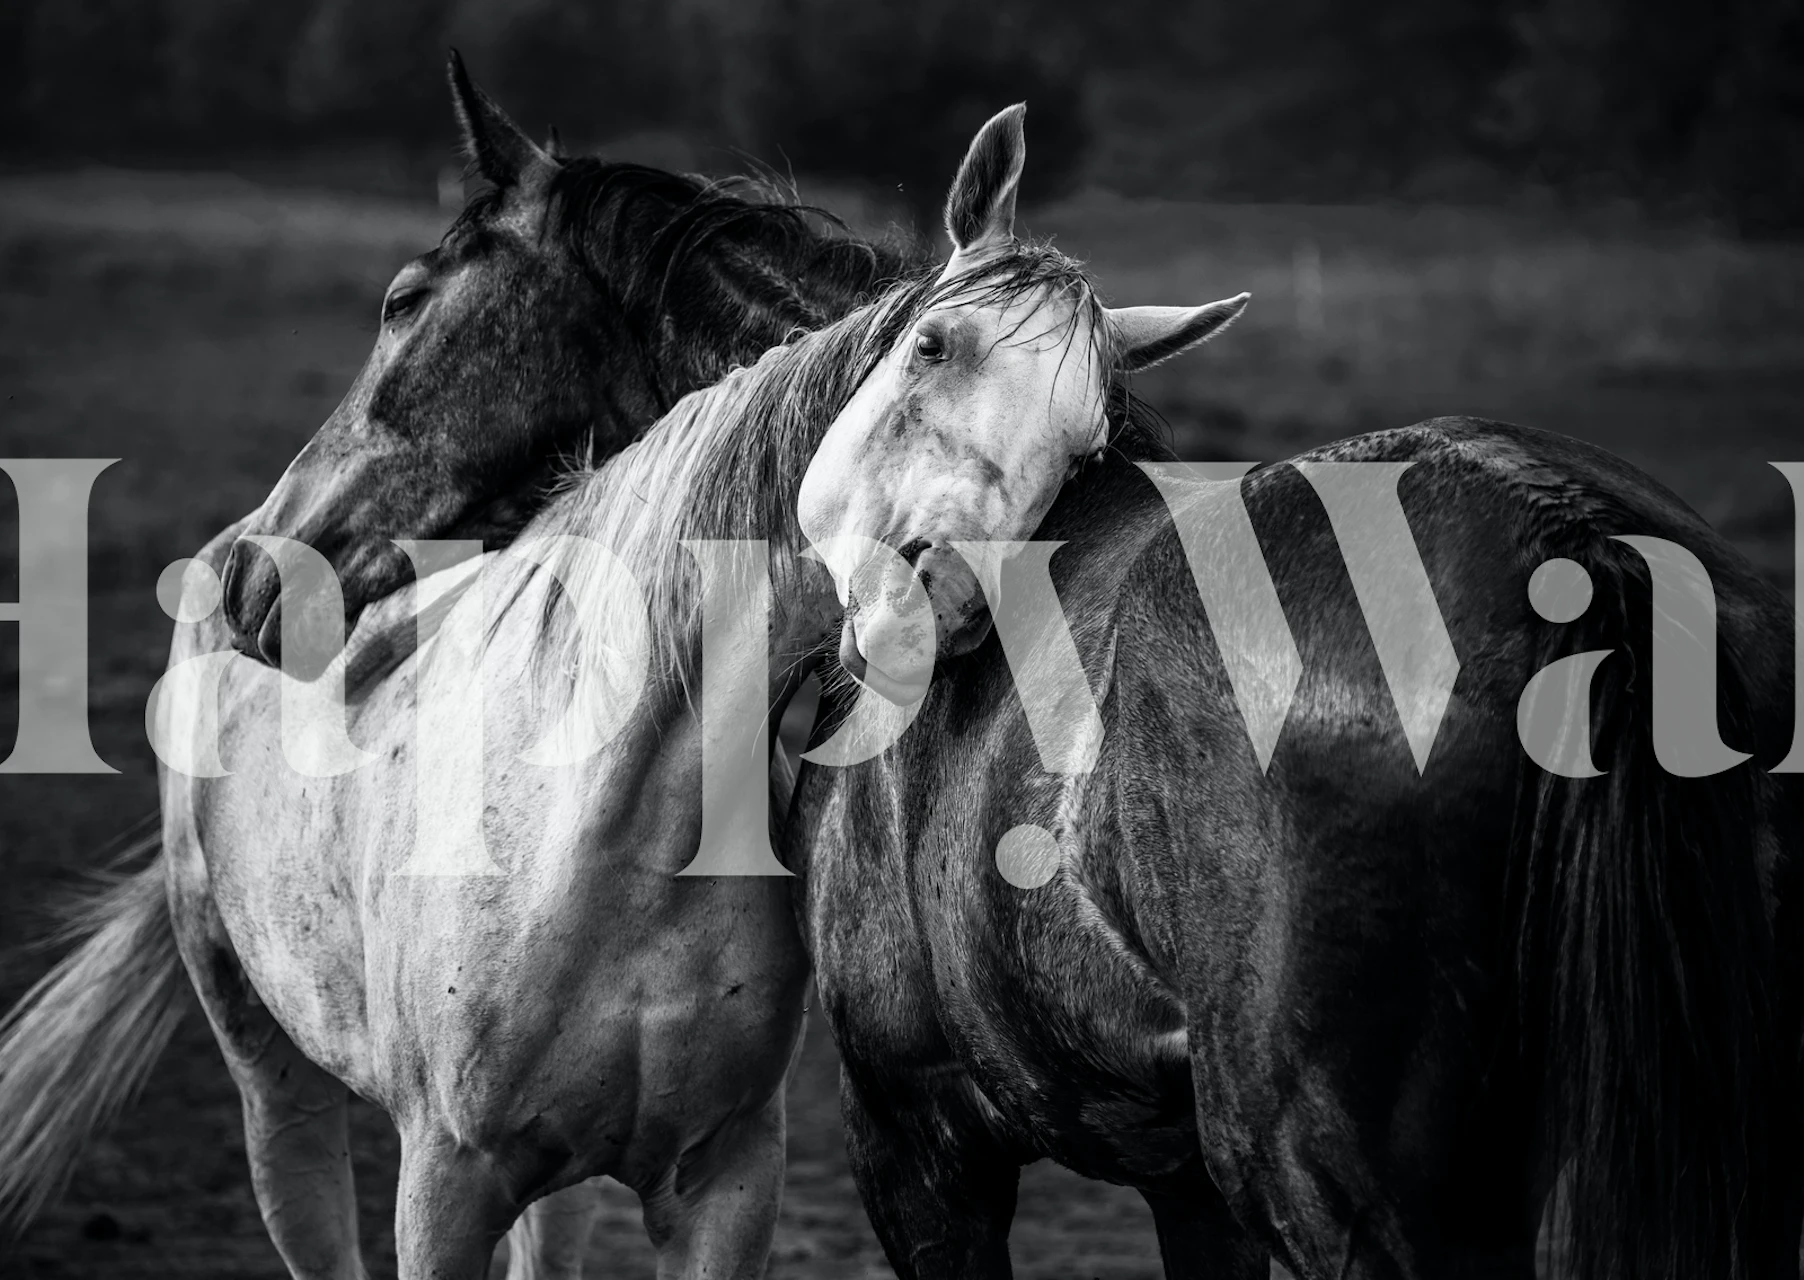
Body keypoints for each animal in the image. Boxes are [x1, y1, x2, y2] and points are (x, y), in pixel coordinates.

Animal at [791, 106, 1804, 1279]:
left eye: (1080, 441)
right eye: (931, 344)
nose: (936, 597)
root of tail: (1566, 529)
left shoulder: (915, 1141)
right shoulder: (1183, 1182)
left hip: (1315, 1170)